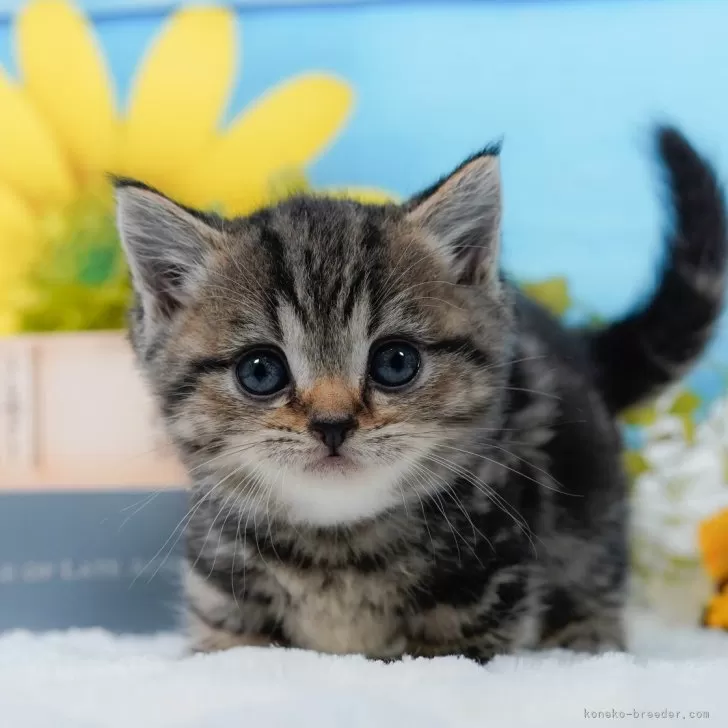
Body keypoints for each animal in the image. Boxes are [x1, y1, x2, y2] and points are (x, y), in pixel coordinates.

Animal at [116, 123, 724, 660]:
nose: (332, 424)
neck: (336, 549)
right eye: (260, 372)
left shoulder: (488, 584)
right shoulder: (221, 593)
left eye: (396, 362)